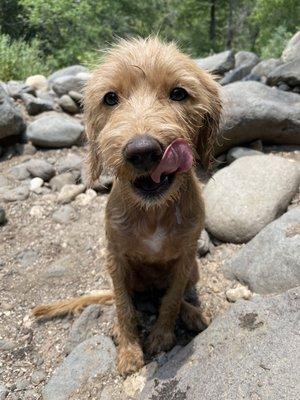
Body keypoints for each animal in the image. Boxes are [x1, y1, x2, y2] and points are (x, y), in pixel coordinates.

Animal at [33, 36, 220, 376]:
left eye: (178, 93)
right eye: (110, 98)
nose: (142, 151)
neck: (154, 212)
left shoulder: (186, 257)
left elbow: (171, 300)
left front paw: (161, 336)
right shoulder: (115, 259)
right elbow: (123, 308)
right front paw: (130, 349)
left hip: (194, 271)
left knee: (168, 295)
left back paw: (192, 312)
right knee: (136, 300)